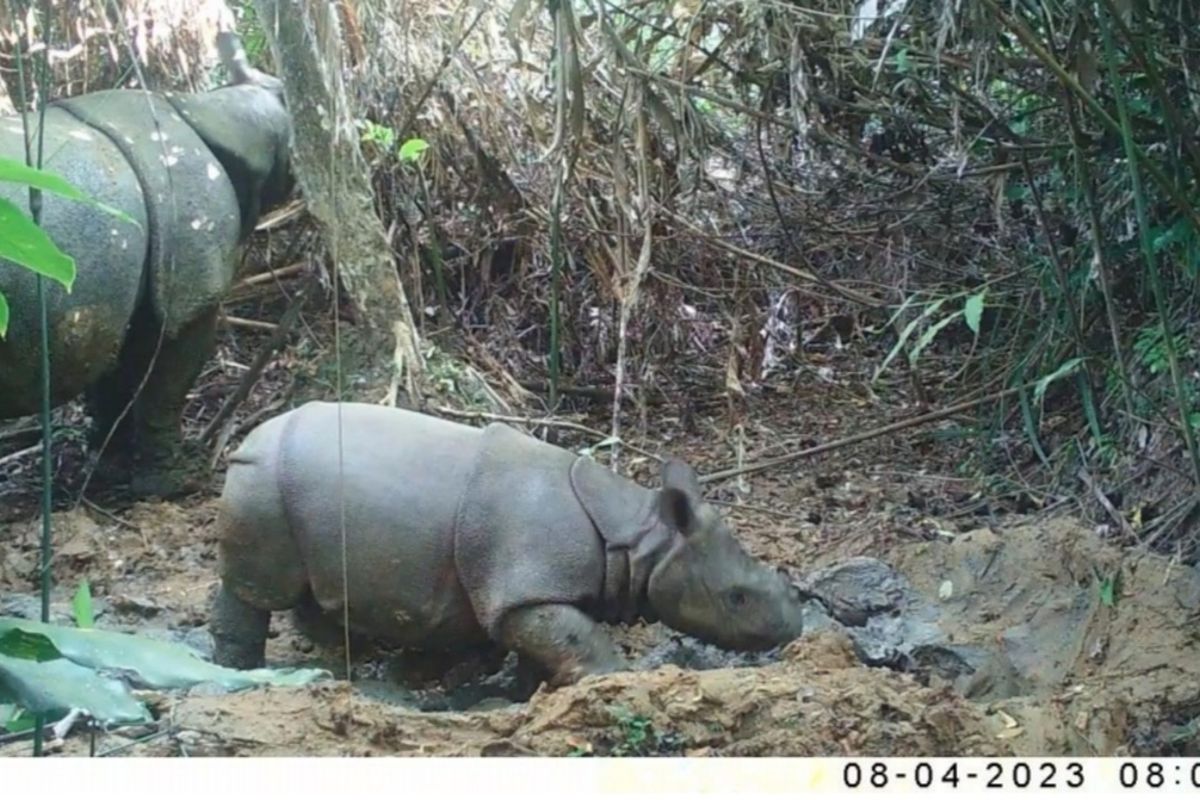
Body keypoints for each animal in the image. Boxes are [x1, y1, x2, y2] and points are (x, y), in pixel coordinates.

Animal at [0, 34, 292, 496]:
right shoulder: (189, 290)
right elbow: (168, 382)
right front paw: (178, 482)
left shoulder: (115, 292)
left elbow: (113, 379)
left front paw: (108, 469)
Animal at [211, 402, 811, 686]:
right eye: (736, 598)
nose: (792, 627)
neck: (641, 538)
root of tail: (247, 437)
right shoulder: (525, 588)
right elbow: (572, 635)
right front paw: (618, 678)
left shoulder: (529, 589)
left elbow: (552, 639)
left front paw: (525, 688)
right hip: (263, 482)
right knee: (256, 588)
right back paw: (241, 670)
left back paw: (358, 660)